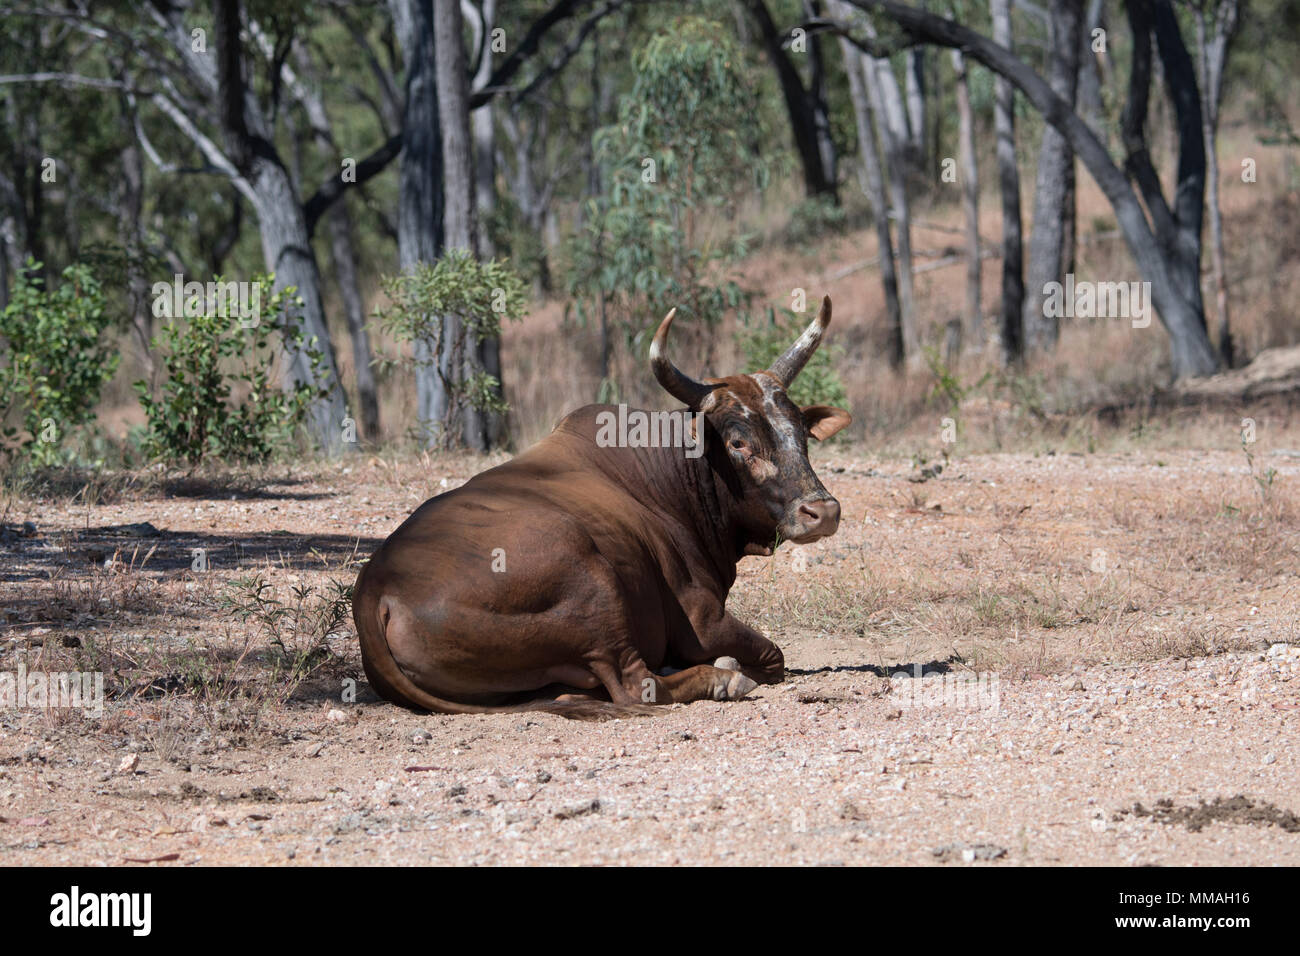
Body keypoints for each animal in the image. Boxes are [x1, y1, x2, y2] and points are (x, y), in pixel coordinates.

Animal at [353, 295, 851, 718]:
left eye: (800, 432)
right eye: (737, 442)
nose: (822, 511)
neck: (671, 474)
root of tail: (377, 590)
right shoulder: (703, 621)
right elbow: (771, 657)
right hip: (591, 577)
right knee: (636, 684)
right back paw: (721, 679)